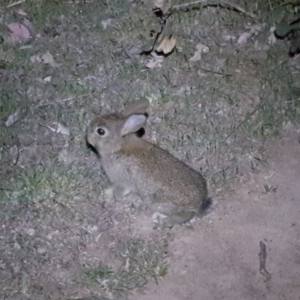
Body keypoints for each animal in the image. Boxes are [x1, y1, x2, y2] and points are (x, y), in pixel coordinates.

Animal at [85, 99, 210, 229]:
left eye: (100, 131)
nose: (87, 137)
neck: (118, 147)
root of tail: (199, 201)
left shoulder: (122, 180)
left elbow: (119, 191)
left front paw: (107, 194)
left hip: (156, 201)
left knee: (187, 214)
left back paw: (162, 220)